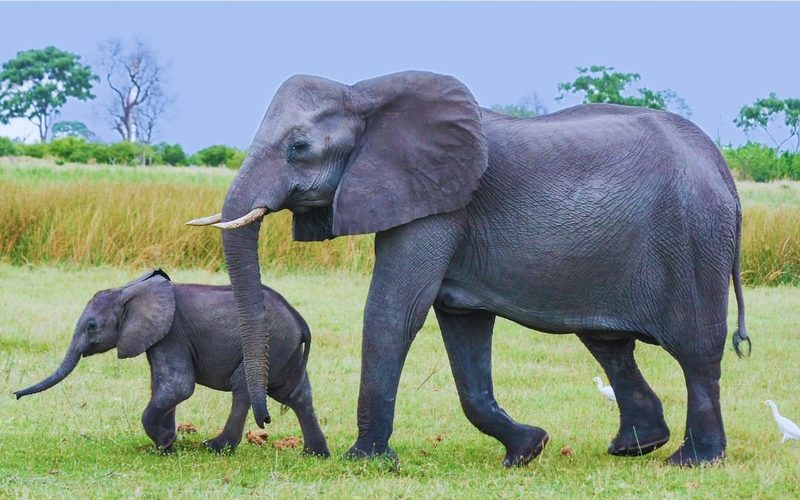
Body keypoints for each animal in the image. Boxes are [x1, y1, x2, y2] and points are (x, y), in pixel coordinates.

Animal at [14, 269, 330, 456]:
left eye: (91, 327)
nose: (14, 395)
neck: (130, 291)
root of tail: (300, 321)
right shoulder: (159, 337)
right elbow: (163, 387)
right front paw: (167, 444)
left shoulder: (172, 333)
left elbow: (178, 387)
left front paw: (164, 444)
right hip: (284, 351)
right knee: (297, 394)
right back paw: (314, 454)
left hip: (271, 344)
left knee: (243, 389)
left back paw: (215, 447)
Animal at [188, 70, 749, 467]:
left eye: (299, 148)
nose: (265, 420)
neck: (365, 93)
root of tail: (723, 169)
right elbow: (462, 329)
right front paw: (528, 450)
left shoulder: (439, 204)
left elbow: (396, 311)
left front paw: (365, 460)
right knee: (609, 345)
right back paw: (634, 448)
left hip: (694, 239)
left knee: (697, 351)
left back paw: (692, 462)